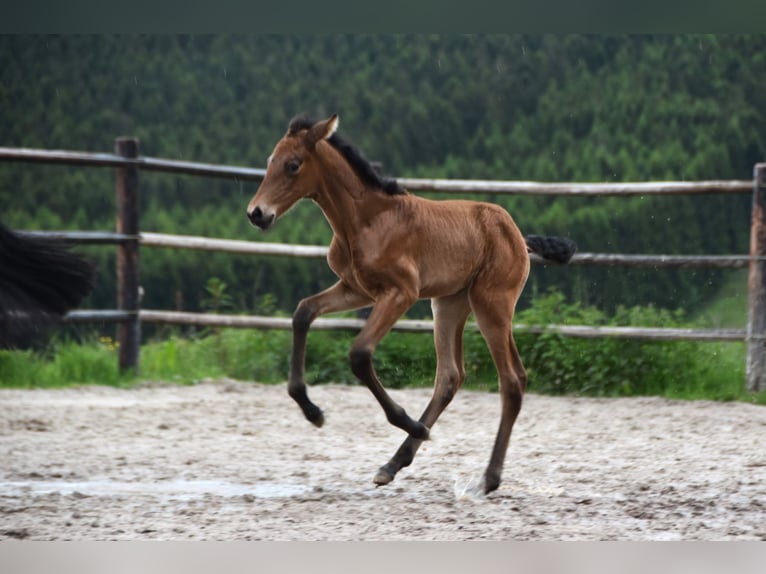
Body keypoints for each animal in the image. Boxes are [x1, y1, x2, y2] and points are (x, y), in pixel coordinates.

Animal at [248, 113, 576, 496]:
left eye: (293, 165)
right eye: (270, 161)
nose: (257, 213)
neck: (366, 220)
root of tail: (518, 236)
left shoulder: (399, 293)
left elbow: (359, 354)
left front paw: (406, 421)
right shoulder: (355, 290)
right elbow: (303, 313)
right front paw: (312, 411)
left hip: (492, 304)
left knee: (511, 380)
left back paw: (487, 478)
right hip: (448, 304)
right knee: (451, 376)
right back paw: (393, 463)